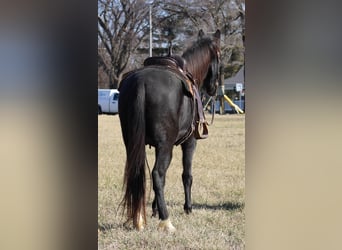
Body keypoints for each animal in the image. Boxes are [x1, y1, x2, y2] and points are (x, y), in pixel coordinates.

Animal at [119, 29, 220, 232]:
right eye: (219, 55)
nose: (213, 88)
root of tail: (140, 82)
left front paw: (154, 209)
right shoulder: (189, 143)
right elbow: (186, 175)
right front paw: (187, 207)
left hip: (132, 142)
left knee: (139, 173)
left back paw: (139, 219)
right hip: (166, 146)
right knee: (157, 174)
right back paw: (166, 221)